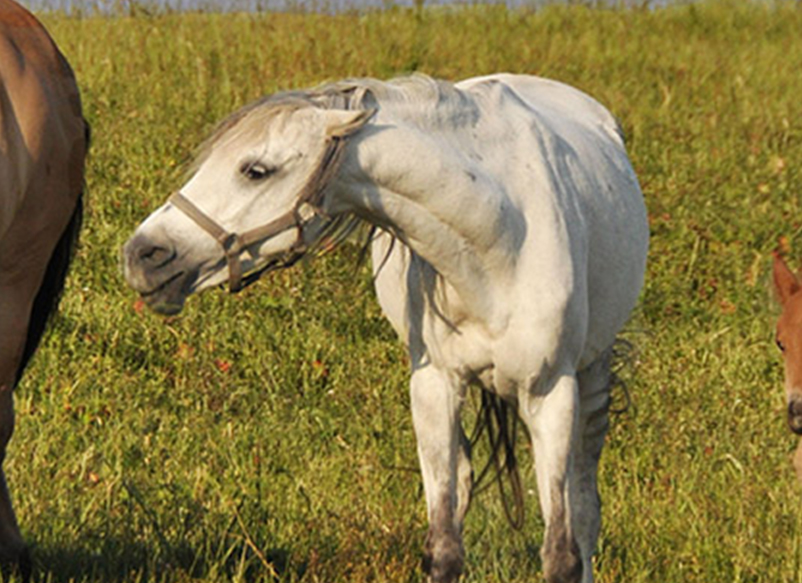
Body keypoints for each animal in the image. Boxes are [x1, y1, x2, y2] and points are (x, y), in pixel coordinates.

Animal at [122, 74, 648, 583]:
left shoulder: (550, 393)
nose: (143, 254)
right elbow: (444, 549)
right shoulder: (434, 386)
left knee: (584, 508)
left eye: (254, 170)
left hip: (590, 378)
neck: (498, 237)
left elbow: (563, 554)